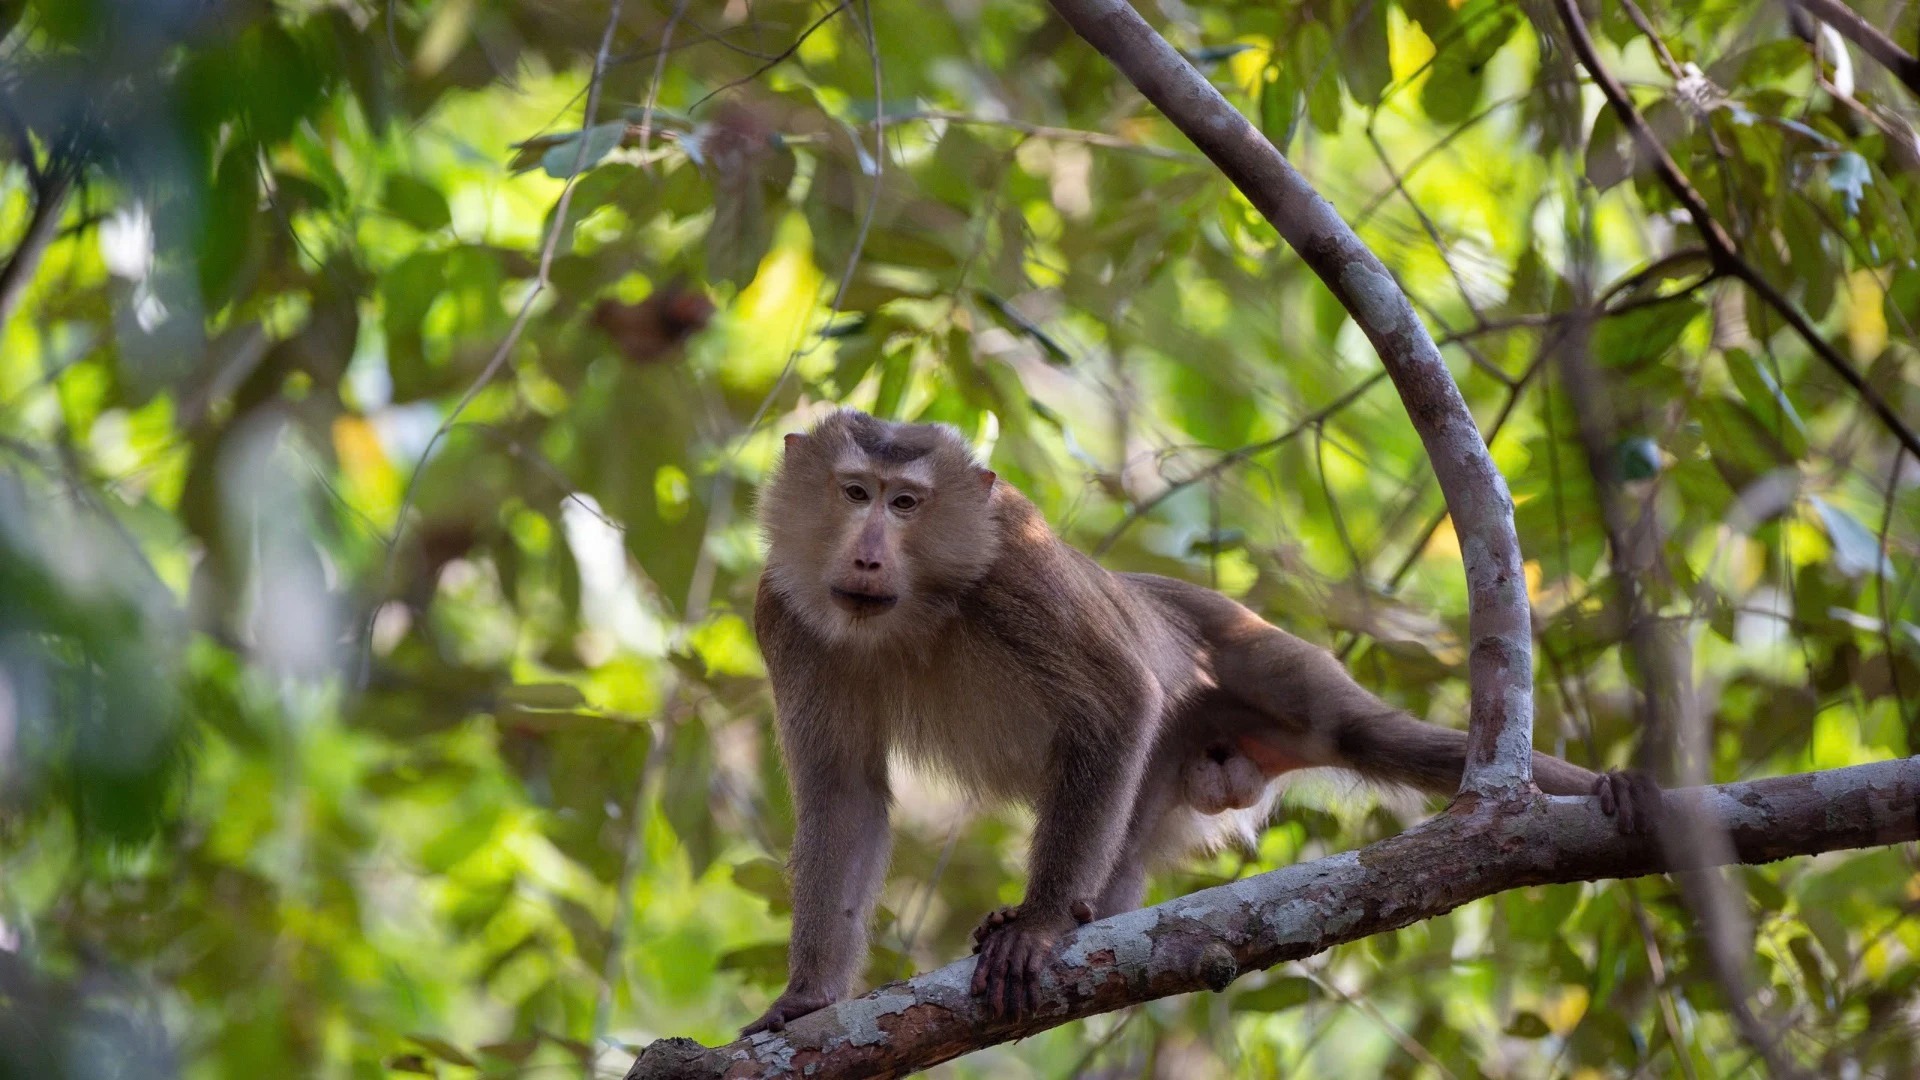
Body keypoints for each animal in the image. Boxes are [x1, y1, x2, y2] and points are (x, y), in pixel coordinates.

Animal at [737, 407, 1651, 1030]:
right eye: (855, 493)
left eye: (906, 504)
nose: (867, 553)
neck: (916, 609)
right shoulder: (783, 616)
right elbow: (846, 795)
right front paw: (808, 998)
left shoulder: (1012, 566)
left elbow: (1118, 699)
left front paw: (1039, 923)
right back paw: (1099, 910)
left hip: (1267, 664)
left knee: (1367, 736)